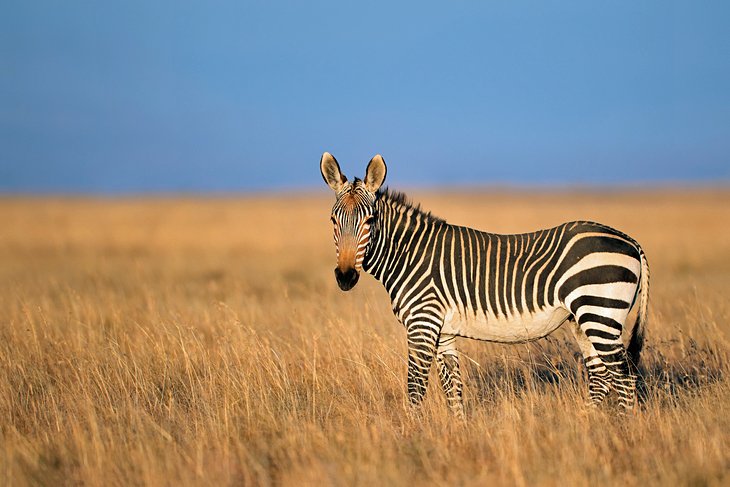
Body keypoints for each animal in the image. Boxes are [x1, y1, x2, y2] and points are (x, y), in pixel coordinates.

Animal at [318, 152, 648, 416]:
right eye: (333, 220)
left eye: (370, 220)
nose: (345, 277)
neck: (409, 255)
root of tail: (629, 240)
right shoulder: (443, 332)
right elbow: (453, 389)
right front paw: (457, 435)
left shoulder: (422, 324)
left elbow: (415, 388)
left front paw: (411, 436)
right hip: (582, 320)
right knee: (602, 375)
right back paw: (587, 424)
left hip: (600, 312)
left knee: (624, 376)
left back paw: (622, 428)